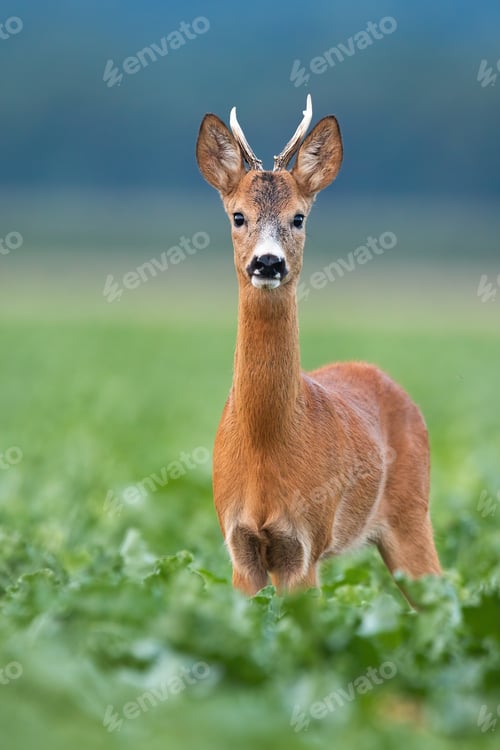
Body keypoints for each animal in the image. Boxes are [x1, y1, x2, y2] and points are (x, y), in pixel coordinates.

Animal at [196, 95, 441, 596]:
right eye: (238, 215)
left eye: (299, 217)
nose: (268, 262)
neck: (265, 444)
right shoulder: (238, 545)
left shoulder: (304, 544)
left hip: (413, 516)